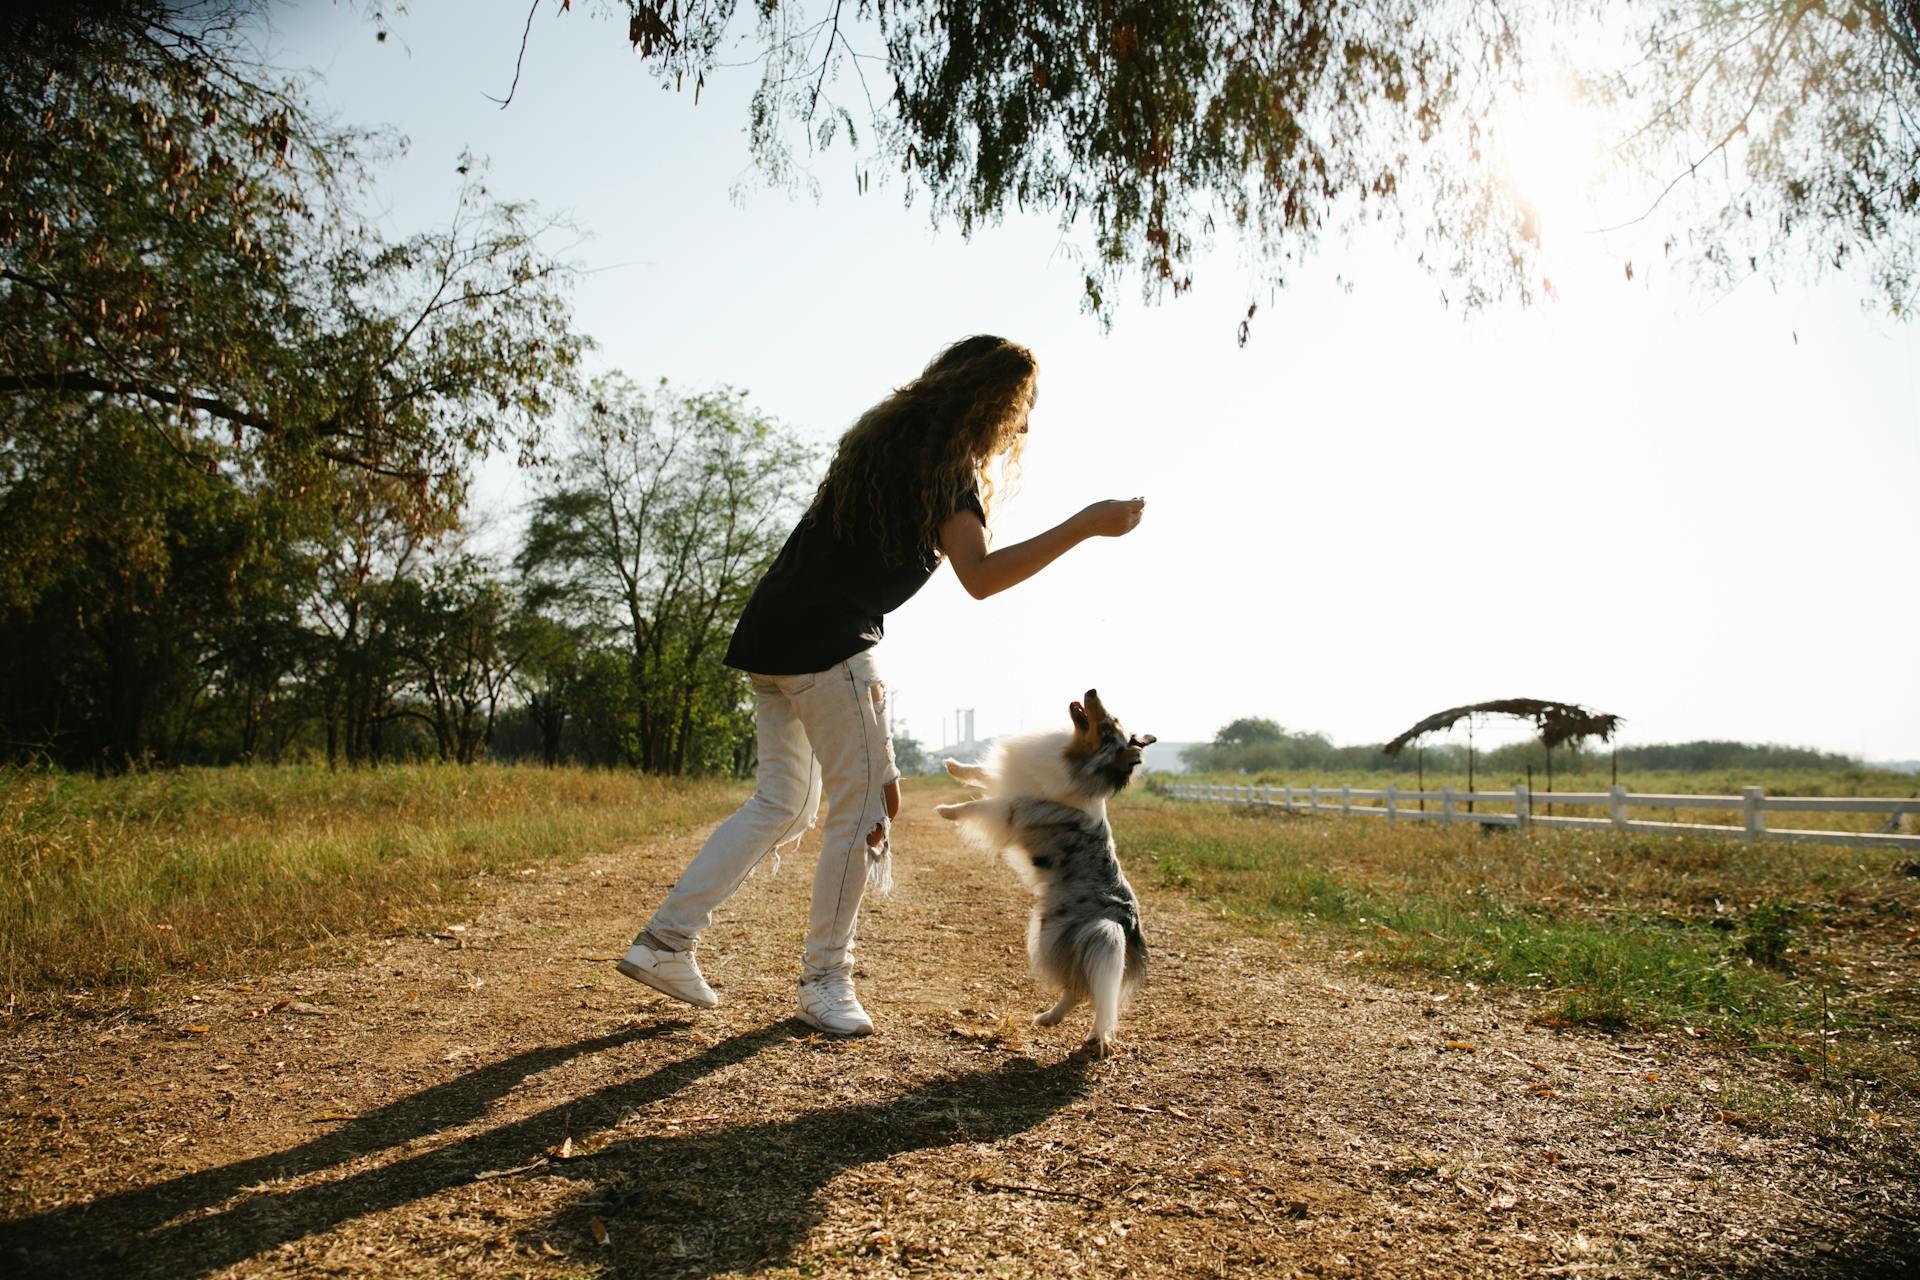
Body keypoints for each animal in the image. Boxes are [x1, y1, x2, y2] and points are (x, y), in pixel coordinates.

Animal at [933, 690, 1152, 1059]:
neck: (1073, 760)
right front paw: (953, 765)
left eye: (1107, 726)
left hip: (1059, 935)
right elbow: (982, 772)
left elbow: (977, 805)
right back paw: (1062, 1023)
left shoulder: (1013, 808)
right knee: (1088, 988)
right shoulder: (1014, 778)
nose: (1092, 690)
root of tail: (1125, 920)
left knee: (1083, 988)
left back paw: (1078, 1028)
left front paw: (947, 810)